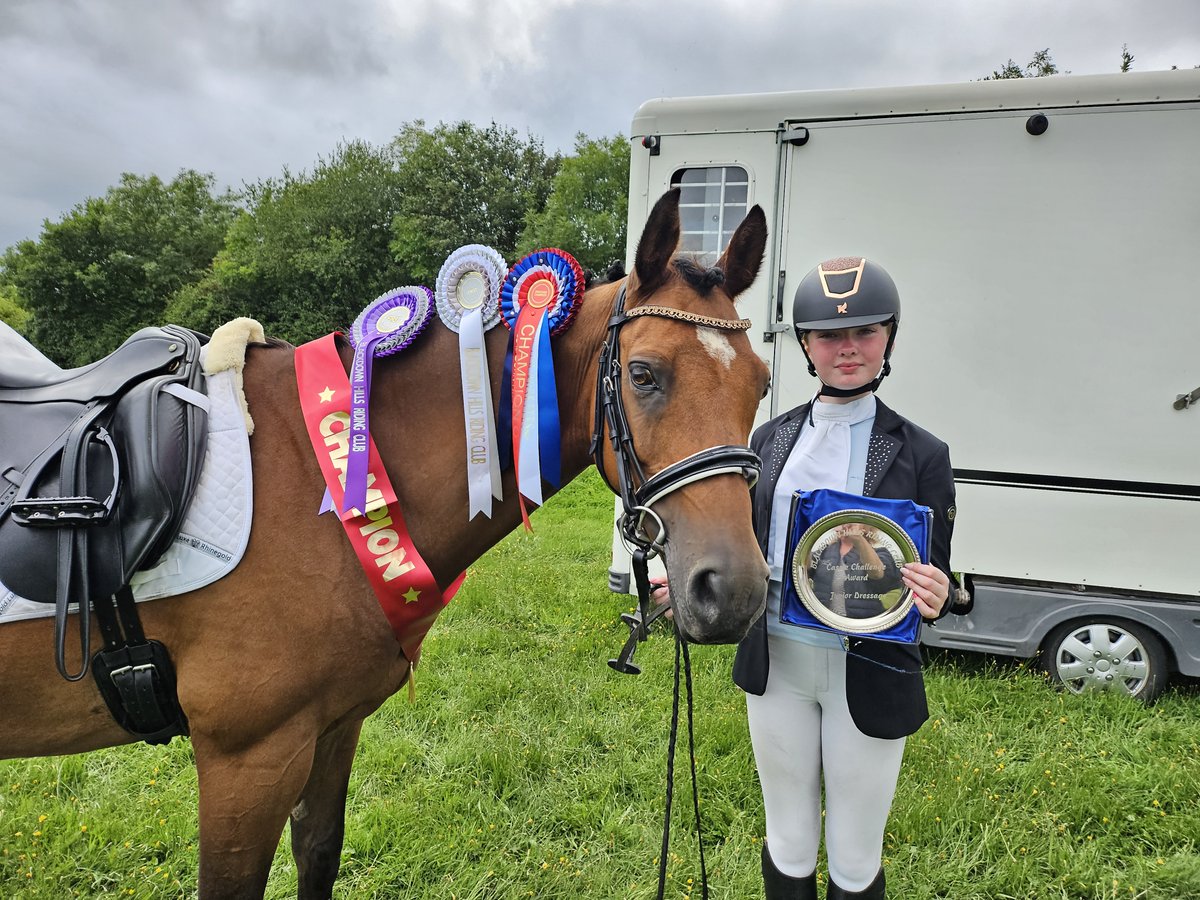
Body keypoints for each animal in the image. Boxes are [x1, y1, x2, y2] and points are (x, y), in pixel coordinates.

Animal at [0, 187, 768, 897]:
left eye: (760, 384)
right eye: (643, 374)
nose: (733, 591)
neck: (324, 478)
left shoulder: (330, 730)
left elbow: (318, 852)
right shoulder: (246, 761)